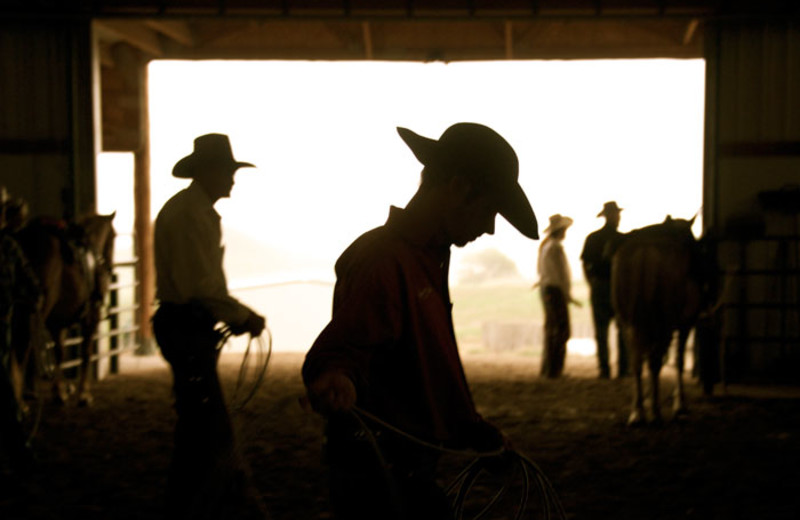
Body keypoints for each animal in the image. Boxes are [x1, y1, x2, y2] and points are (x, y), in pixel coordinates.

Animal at [13, 211, 117, 406]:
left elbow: (59, 353)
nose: (108, 267)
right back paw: (21, 400)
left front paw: (59, 392)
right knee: (25, 348)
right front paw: (84, 394)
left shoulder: (57, 323)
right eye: (114, 236)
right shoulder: (91, 317)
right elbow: (86, 352)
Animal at [608, 217, 704, 424]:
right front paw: (679, 405)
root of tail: (646, 248)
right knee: (654, 361)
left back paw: (638, 412)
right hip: (664, 324)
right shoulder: (685, 325)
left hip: (627, 323)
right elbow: (678, 361)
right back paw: (654, 412)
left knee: (637, 361)